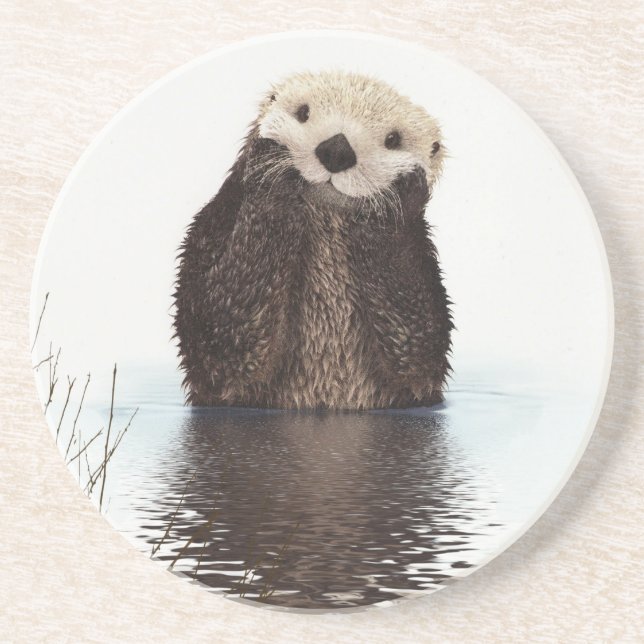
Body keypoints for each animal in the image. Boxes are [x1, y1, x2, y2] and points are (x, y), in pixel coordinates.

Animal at [173, 70, 452, 410]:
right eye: (303, 113)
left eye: (393, 140)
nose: (337, 150)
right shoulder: (213, 228)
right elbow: (220, 334)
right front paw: (271, 168)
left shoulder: (423, 266)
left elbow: (419, 349)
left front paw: (395, 198)